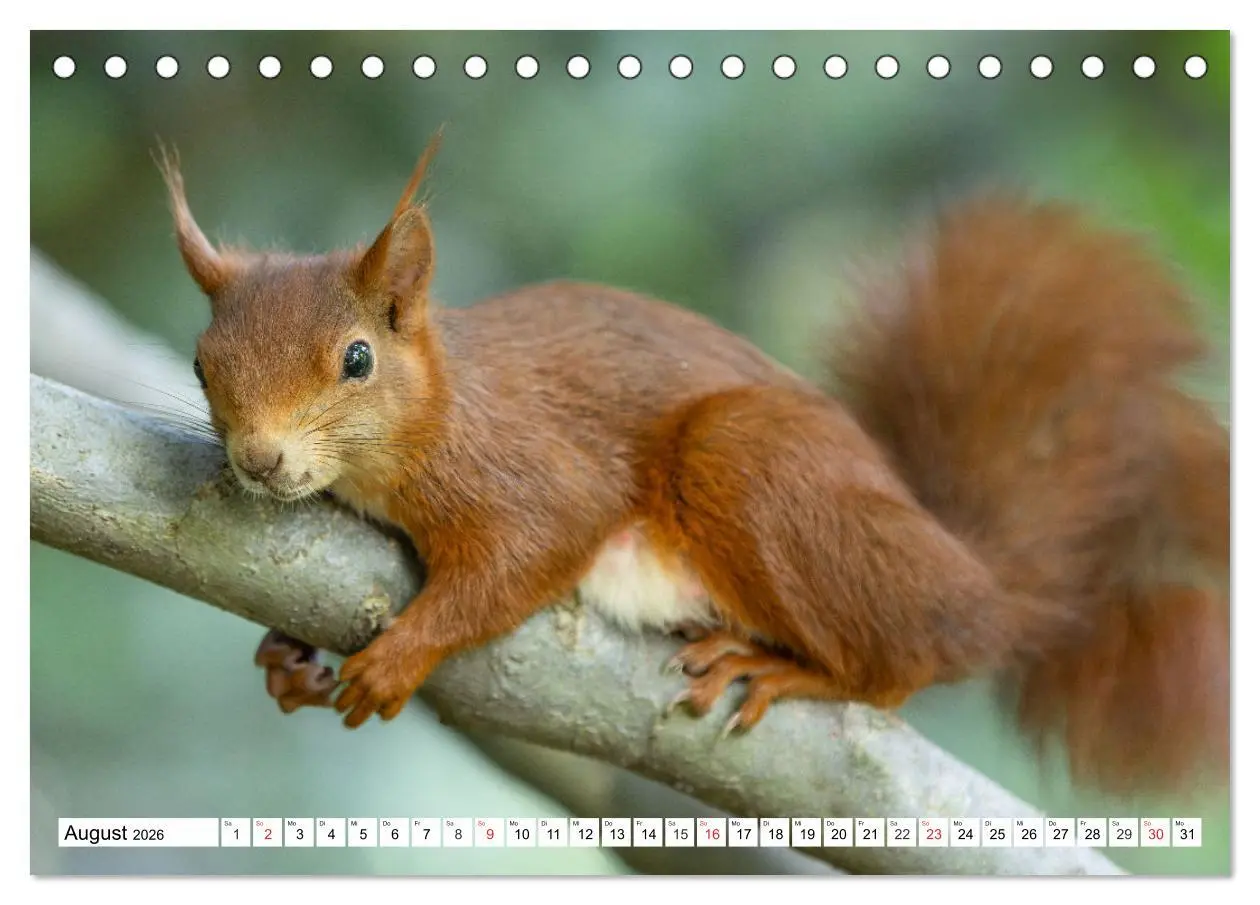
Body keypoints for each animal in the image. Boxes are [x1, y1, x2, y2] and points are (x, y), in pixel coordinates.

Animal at [156, 133, 1228, 796]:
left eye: (357, 359)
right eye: (203, 364)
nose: (260, 458)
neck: (441, 405)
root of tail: (978, 586)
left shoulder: (528, 468)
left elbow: (526, 554)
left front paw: (403, 653)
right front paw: (286, 657)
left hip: (752, 463)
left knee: (903, 666)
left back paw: (789, 668)